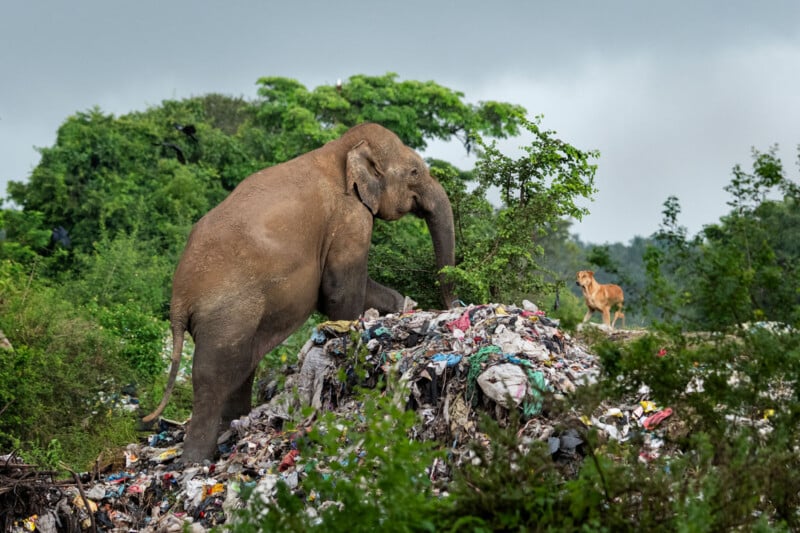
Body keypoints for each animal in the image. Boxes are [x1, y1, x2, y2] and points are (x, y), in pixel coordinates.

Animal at [143, 123, 456, 462]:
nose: (452, 305)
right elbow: (336, 291)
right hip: (225, 311)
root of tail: (178, 300)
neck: (342, 147)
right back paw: (195, 461)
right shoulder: (349, 217)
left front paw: (402, 306)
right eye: (414, 172)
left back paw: (233, 433)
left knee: (241, 367)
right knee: (212, 376)